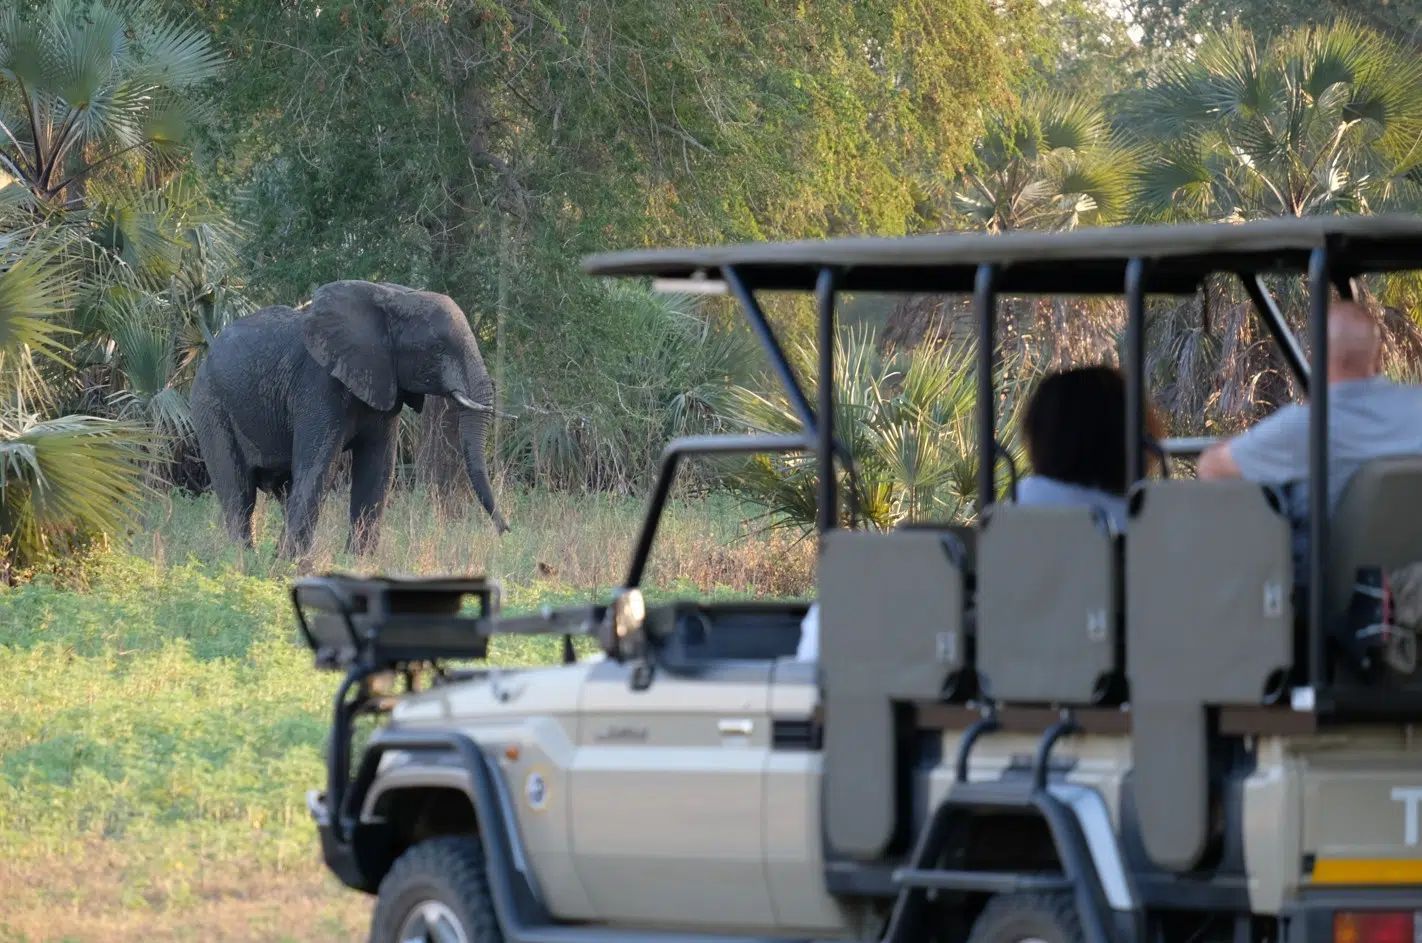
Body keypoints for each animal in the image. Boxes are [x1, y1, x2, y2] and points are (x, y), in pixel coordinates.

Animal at [191, 279, 509, 557]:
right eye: (438, 348)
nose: (506, 531)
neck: (392, 297)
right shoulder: (318, 385)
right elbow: (319, 466)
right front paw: (292, 564)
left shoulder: (383, 384)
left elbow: (377, 469)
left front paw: (357, 562)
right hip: (210, 406)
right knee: (239, 493)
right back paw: (244, 561)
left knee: (284, 489)